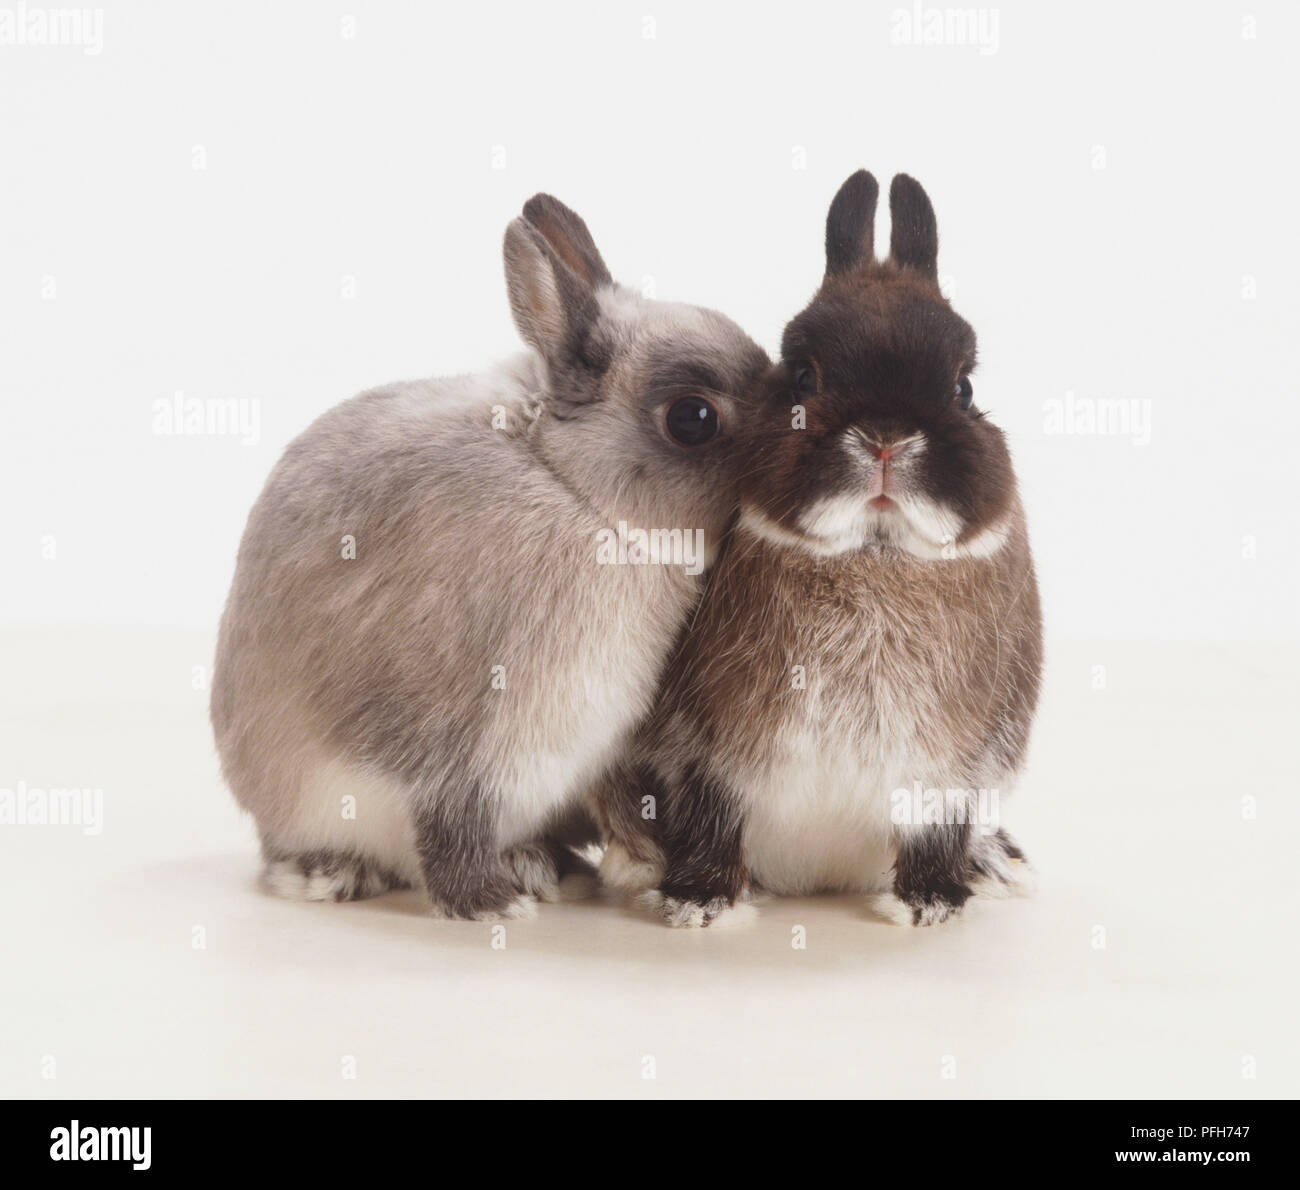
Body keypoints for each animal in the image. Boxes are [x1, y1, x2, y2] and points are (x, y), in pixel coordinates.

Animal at [210, 193, 770, 920]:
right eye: (693, 418)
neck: (577, 492)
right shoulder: (456, 742)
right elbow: (449, 820)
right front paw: (486, 906)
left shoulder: (598, 748)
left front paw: (644, 866)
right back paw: (333, 873)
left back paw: (543, 865)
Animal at [595, 171, 1043, 927]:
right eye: (803, 376)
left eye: (964, 387)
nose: (887, 438)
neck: (872, 556)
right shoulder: (701, 757)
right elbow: (710, 822)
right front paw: (701, 904)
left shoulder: (954, 772)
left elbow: (937, 829)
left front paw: (931, 904)